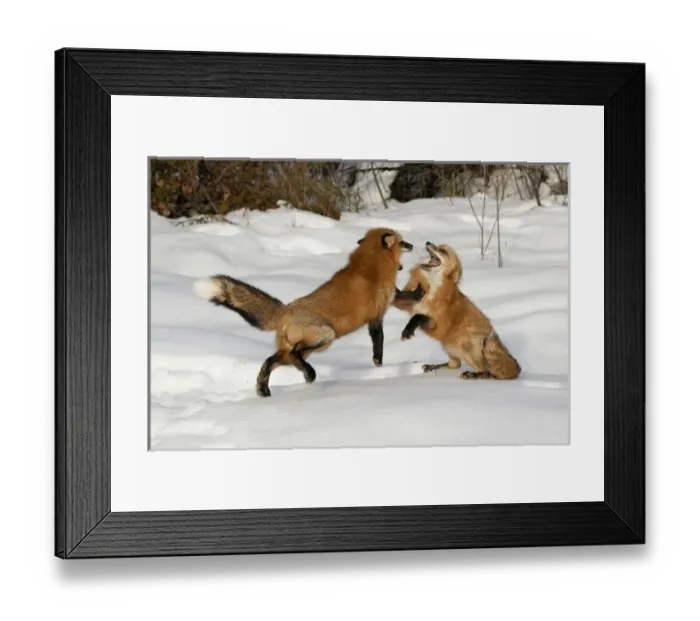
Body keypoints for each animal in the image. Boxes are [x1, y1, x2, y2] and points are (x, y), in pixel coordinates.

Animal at [195, 228, 413, 397]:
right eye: (402, 242)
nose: (412, 245)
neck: (372, 264)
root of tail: (284, 310)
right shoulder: (377, 316)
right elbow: (379, 342)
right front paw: (379, 365)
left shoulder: (384, 307)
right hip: (325, 336)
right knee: (294, 354)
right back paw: (309, 374)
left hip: (298, 350)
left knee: (271, 361)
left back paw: (264, 389)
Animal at [393, 241, 521, 380]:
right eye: (437, 245)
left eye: (443, 251)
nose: (428, 242)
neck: (432, 287)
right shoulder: (406, 304)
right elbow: (401, 299)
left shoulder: (439, 326)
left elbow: (418, 317)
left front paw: (407, 331)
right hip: (447, 345)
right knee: (455, 365)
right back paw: (433, 366)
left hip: (464, 344)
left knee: (487, 372)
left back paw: (473, 374)